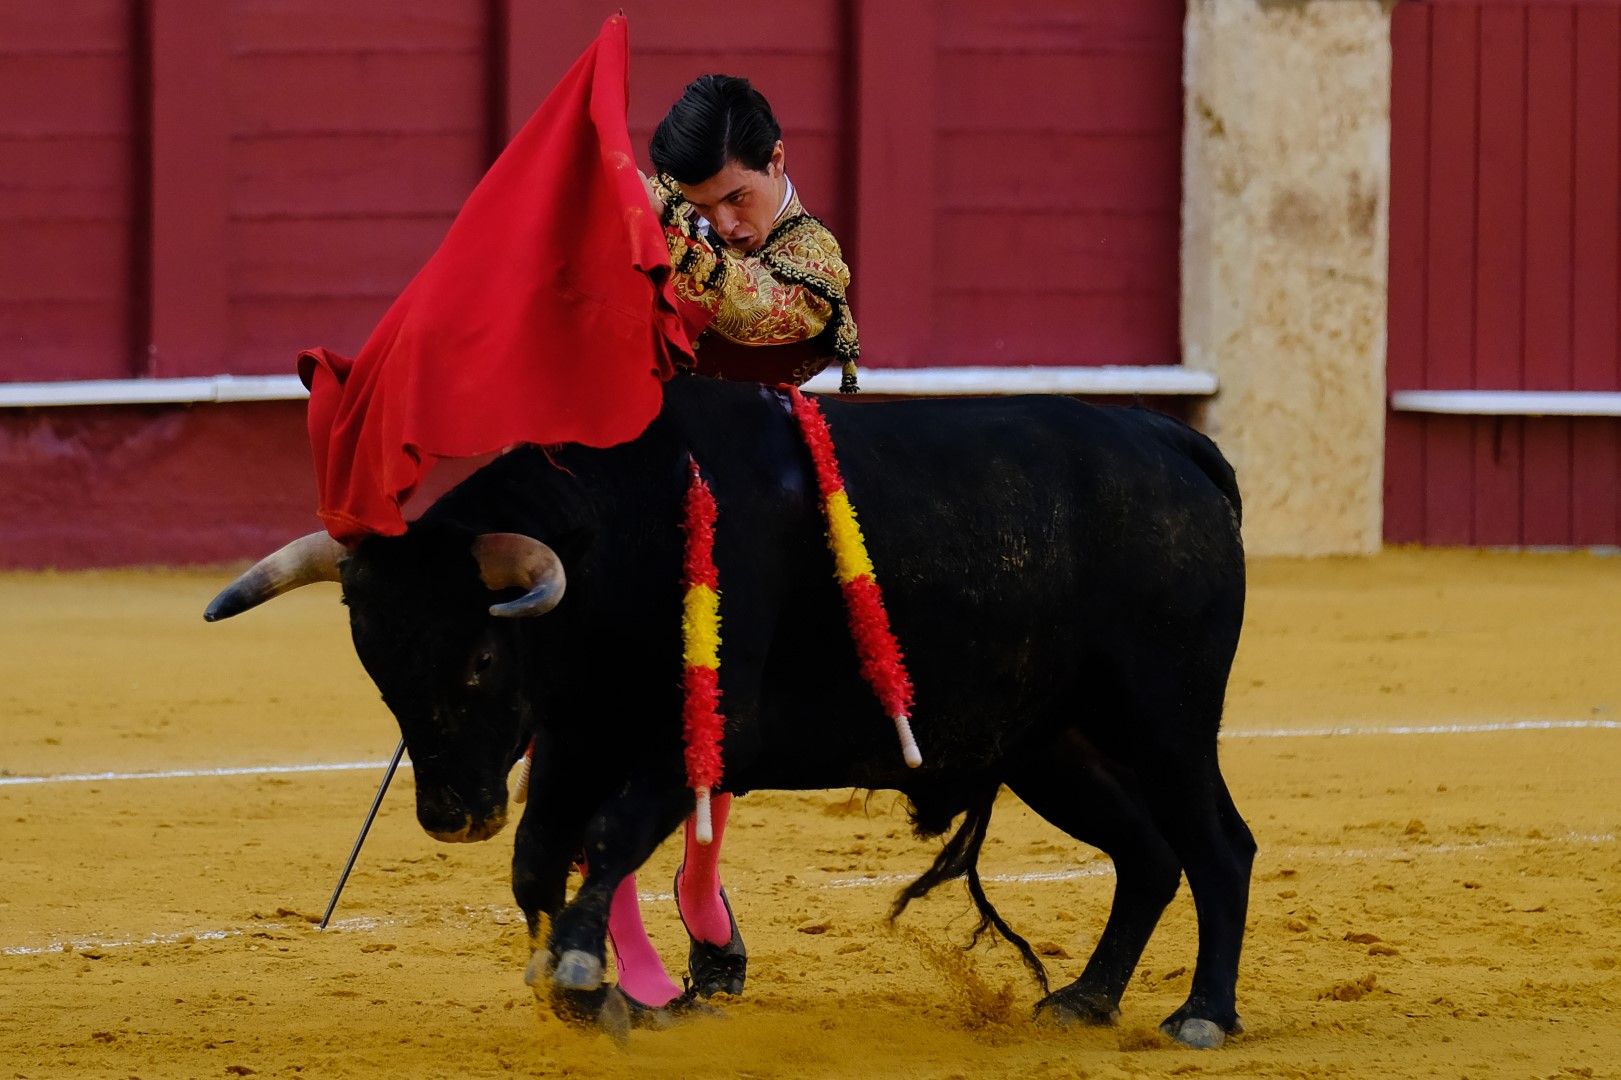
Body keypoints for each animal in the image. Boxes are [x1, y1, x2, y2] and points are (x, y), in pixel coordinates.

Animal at [205, 376, 1251, 1044]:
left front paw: (584, 974)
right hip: (1054, 746)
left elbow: (608, 838)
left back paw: (1200, 1015)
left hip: (1165, 722)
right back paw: (1085, 999)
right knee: (1147, 855)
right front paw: (590, 994)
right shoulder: (578, 738)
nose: (450, 816)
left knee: (1216, 846)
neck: (615, 538)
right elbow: (539, 858)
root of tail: (1172, 444)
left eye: (482, 655)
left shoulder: (694, 735)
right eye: (377, 669)